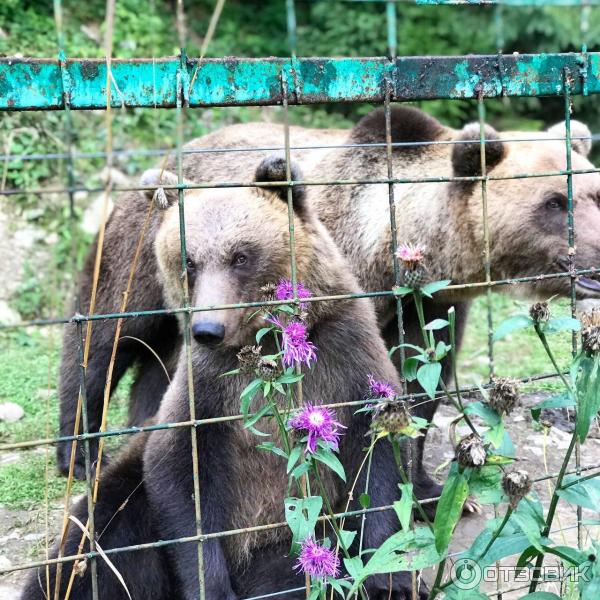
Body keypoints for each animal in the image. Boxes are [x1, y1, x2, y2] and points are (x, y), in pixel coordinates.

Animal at [30, 158, 424, 600]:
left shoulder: (346, 354)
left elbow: (379, 460)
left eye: (241, 256)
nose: (208, 328)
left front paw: (389, 578)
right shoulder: (207, 388)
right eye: (188, 261)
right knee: (92, 539)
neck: (270, 345)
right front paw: (211, 586)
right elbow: (180, 477)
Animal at [56, 105, 600, 504]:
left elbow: (419, 383)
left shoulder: (429, 305)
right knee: (104, 338)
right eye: (555, 202)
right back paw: (79, 457)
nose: (597, 252)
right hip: (139, 251)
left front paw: (426, 488)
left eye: (592, 190)